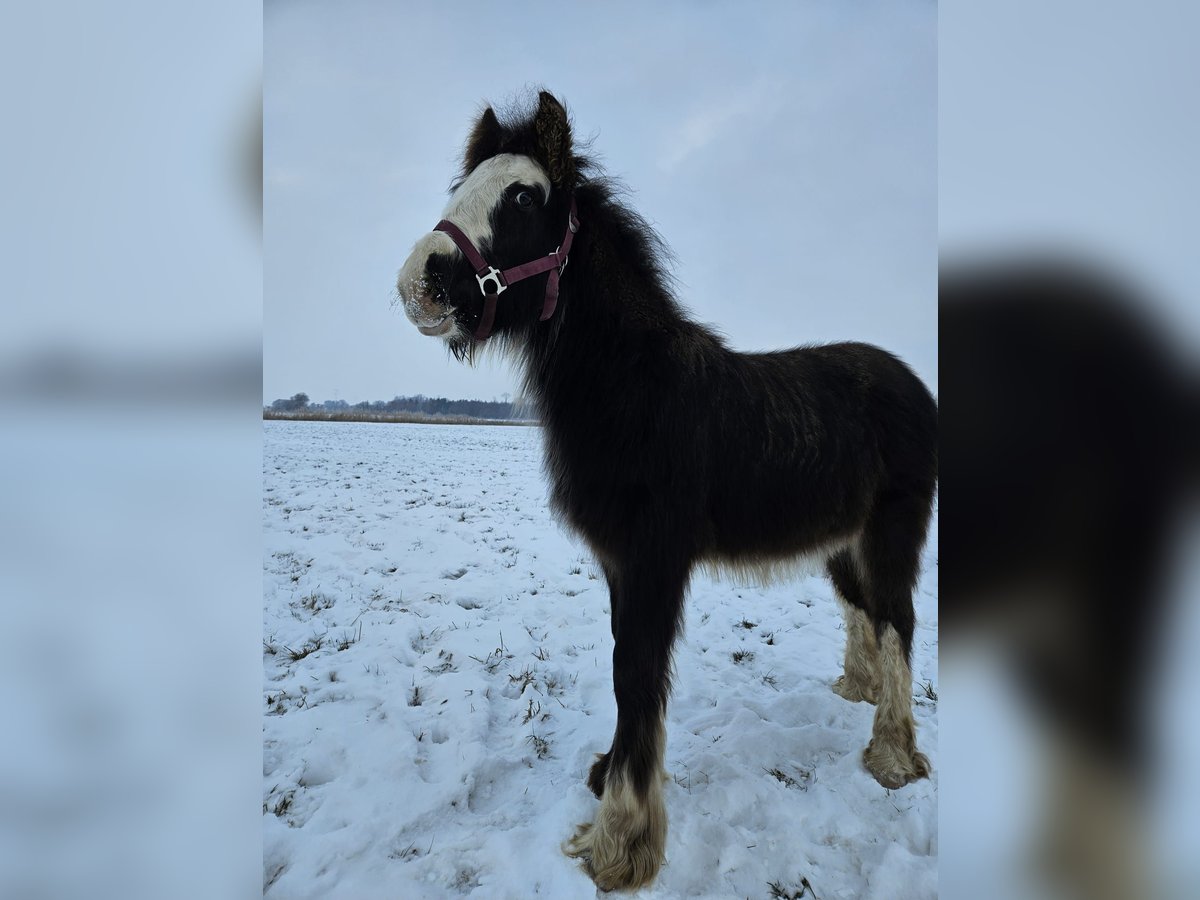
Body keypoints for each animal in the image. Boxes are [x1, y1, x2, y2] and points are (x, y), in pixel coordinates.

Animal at [396, 91, 936, 897]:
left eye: (521, 198)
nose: (417, 282)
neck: (637, 394)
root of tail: (911, 384)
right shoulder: (620, 565)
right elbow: (627, 667)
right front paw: (606, 779)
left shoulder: (653, 563)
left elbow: (638, 675)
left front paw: (619, 842)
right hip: (841, 545)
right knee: (863, 613)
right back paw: (855, 692)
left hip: (893, 535)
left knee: (898, 620)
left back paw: (894, 756)